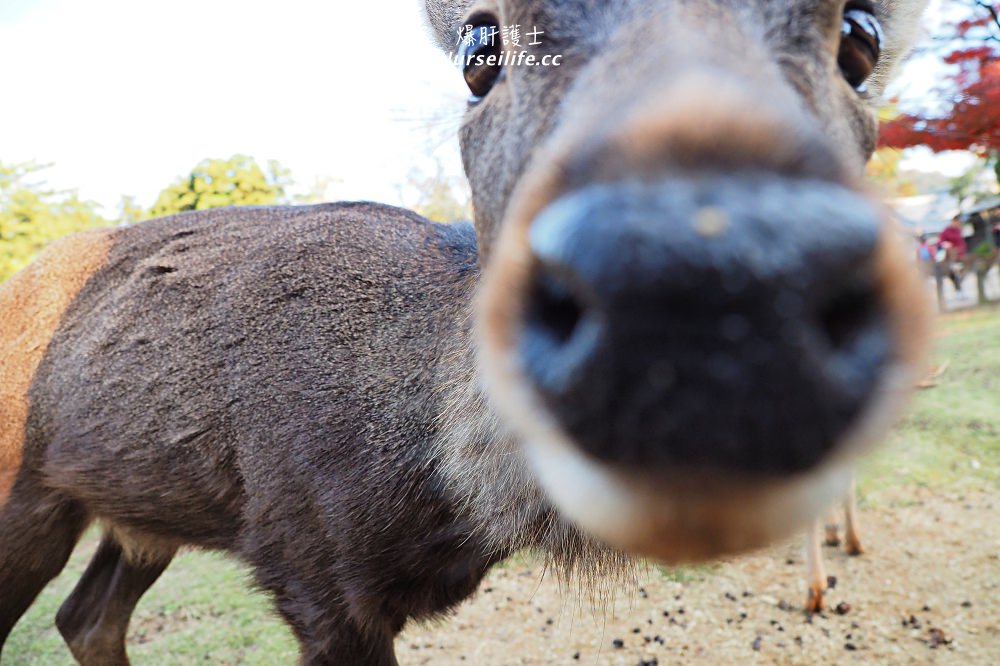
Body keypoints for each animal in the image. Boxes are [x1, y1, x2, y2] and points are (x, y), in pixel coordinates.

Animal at [1, 0, 928, 660]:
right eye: (480, 47)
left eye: (861, 35)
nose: (702, 301)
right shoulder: (307, 563)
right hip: (30, 491)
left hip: (139, 512)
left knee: (87, 617)